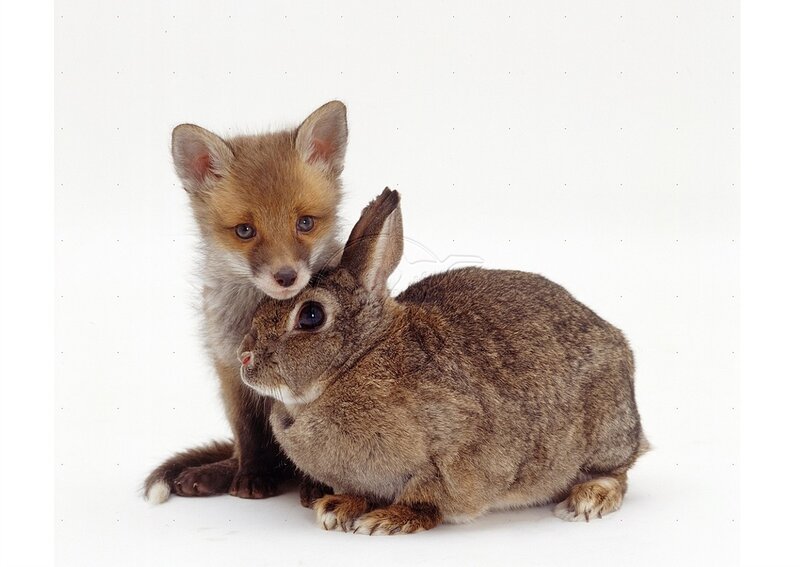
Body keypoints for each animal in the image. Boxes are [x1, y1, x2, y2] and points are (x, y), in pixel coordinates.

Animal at [143, 101, 347, 504]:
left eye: (305, 223)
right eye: (245, 231)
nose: (286, 276)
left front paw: (319, 485)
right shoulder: (230, 373)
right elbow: (248, 437)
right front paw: (250, 477)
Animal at [237, 188, 648, 535]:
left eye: (311, 316)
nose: (245, 357)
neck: (355, 361)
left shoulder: (458, 447)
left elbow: (428, 495)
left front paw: (388, 520)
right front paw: (337, 509)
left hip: (602, 434)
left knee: (619, 472)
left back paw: (587, 501)